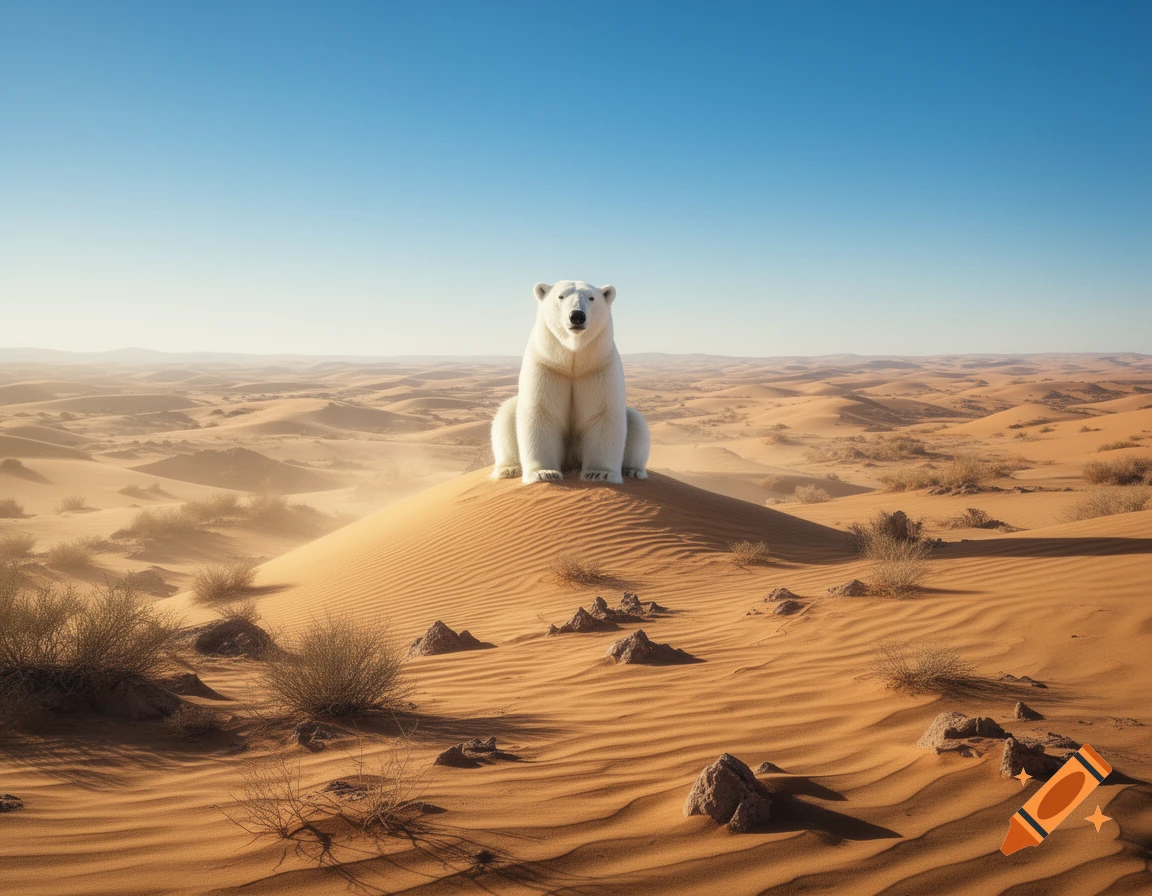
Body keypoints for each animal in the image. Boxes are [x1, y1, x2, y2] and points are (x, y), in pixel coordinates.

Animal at [491, 281, 650, 485]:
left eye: (591, 298)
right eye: (561, 296)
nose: (577, 316)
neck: (573, 359)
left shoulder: (599, 368)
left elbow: (603, 413)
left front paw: (600, 473)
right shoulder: (547, 366)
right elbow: (541, 411)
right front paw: (544, 473)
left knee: (637, 422)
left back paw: (633, 470)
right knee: (506, 413)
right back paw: (508, 469)